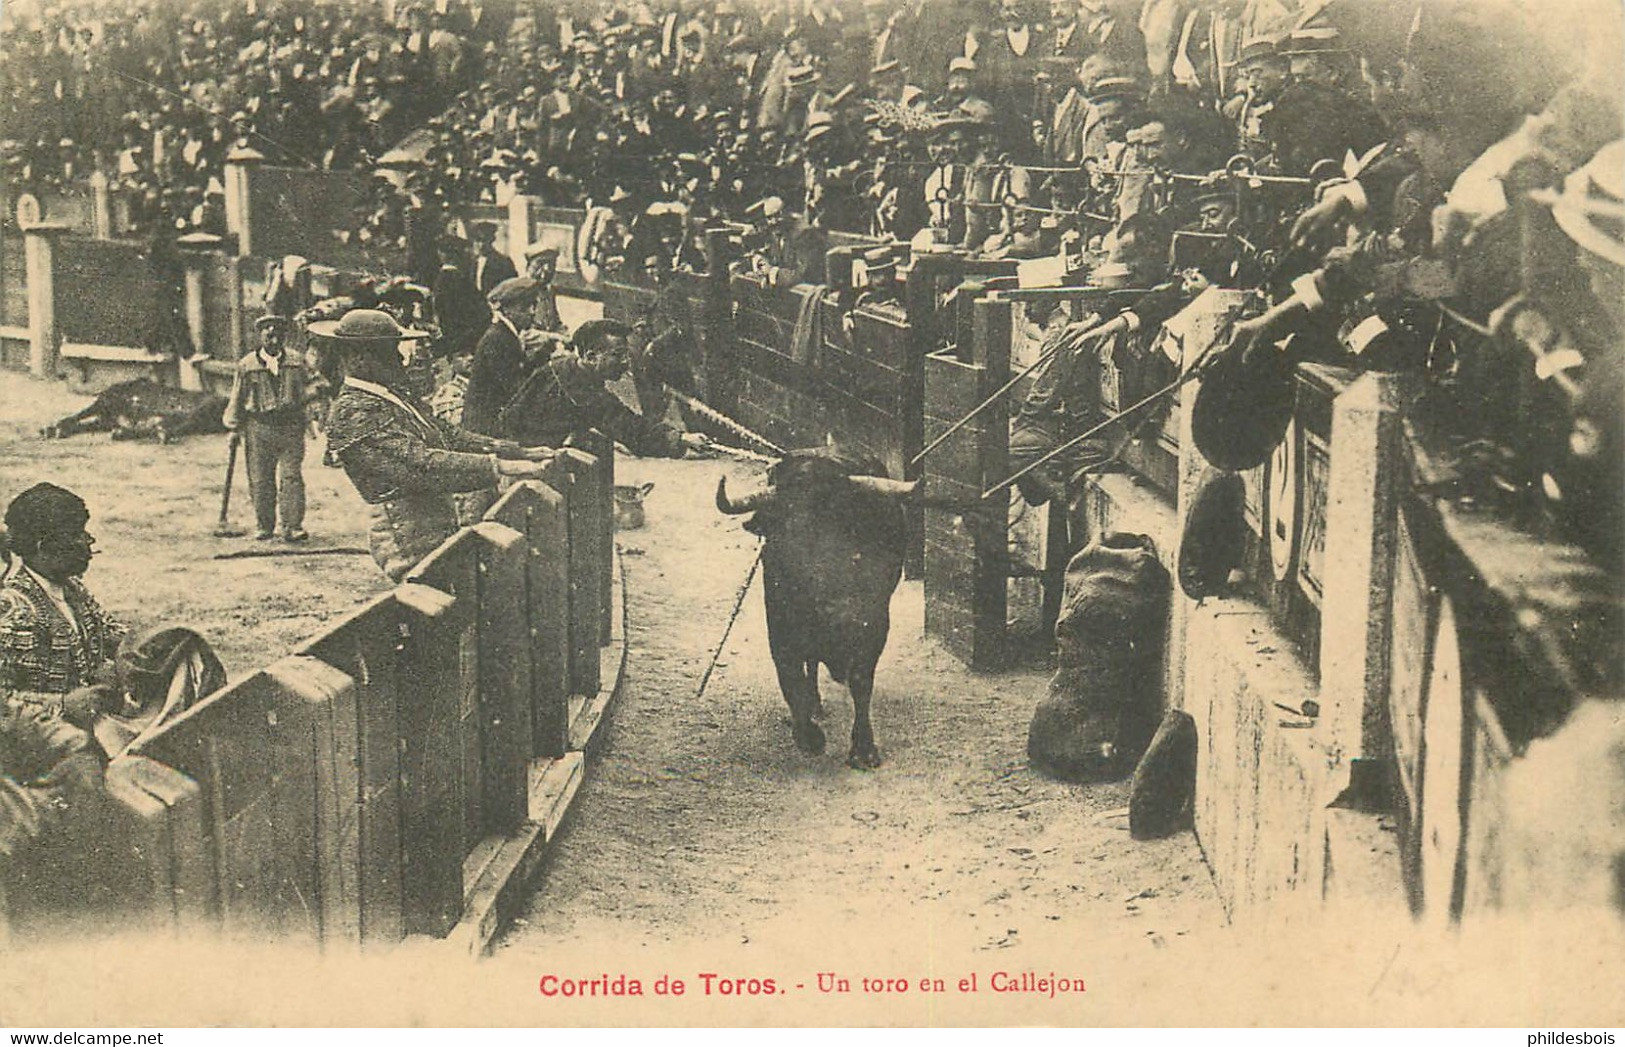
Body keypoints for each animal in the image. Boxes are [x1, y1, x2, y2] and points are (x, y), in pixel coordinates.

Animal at [715, 448, 988, 767]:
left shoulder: (874, 626)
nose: (836, 611)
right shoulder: (781, 628)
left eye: (849, 525)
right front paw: (808, 735)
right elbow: (792, 679)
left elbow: (860, 681)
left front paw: (863, 748)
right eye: (788, 529)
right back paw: (814, 706)